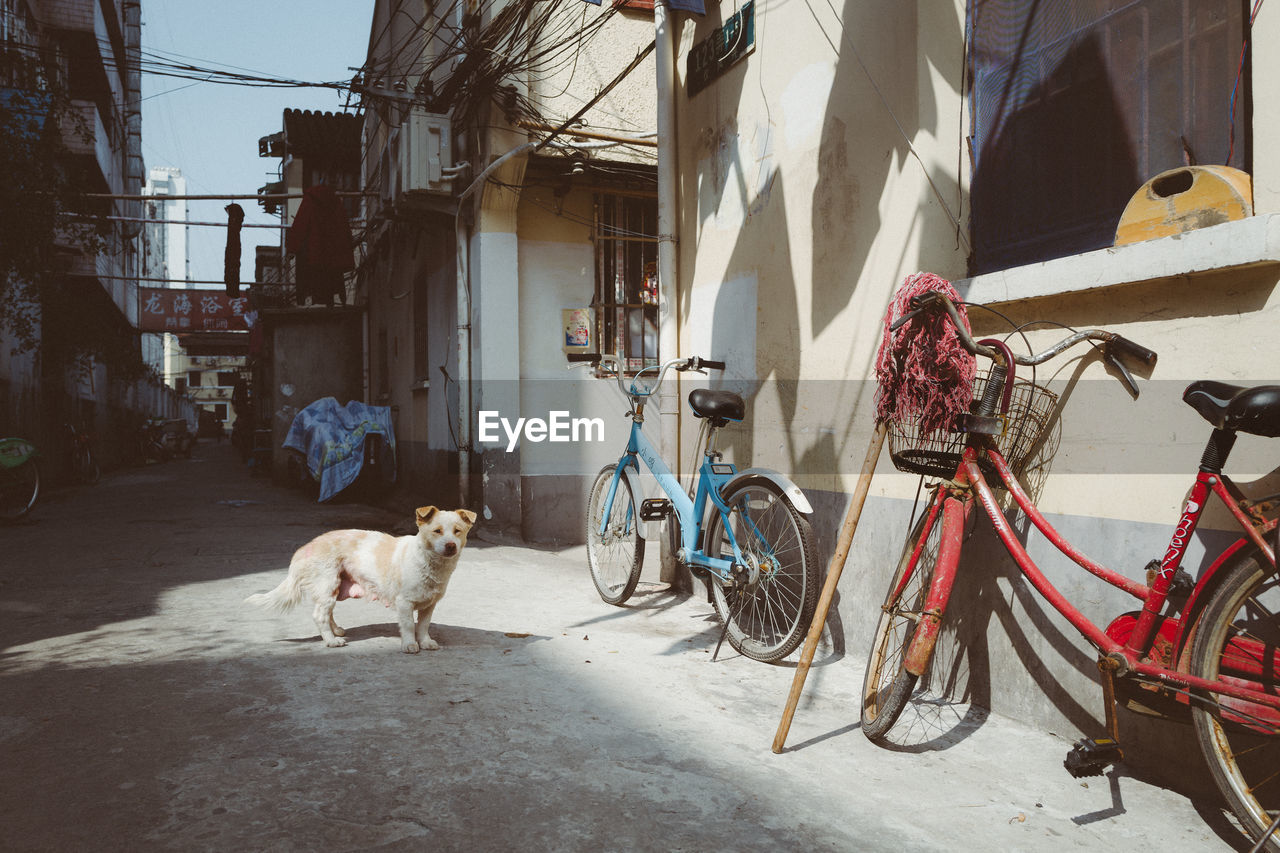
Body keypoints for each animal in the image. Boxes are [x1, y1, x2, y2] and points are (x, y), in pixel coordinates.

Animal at [244, 504, 476, 650]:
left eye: (458, 531)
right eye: (437, 531)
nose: (451, 546)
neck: (429, 562)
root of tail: (304, 548)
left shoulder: (429, 604)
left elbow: (423, 625)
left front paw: (425, 642)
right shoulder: (404, 603)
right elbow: (410, 626)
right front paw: (410, 645)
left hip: (334, 588)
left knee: (327, 612)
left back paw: (336, 631)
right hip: (328, 585)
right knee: (319, 615)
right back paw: (331, 641)